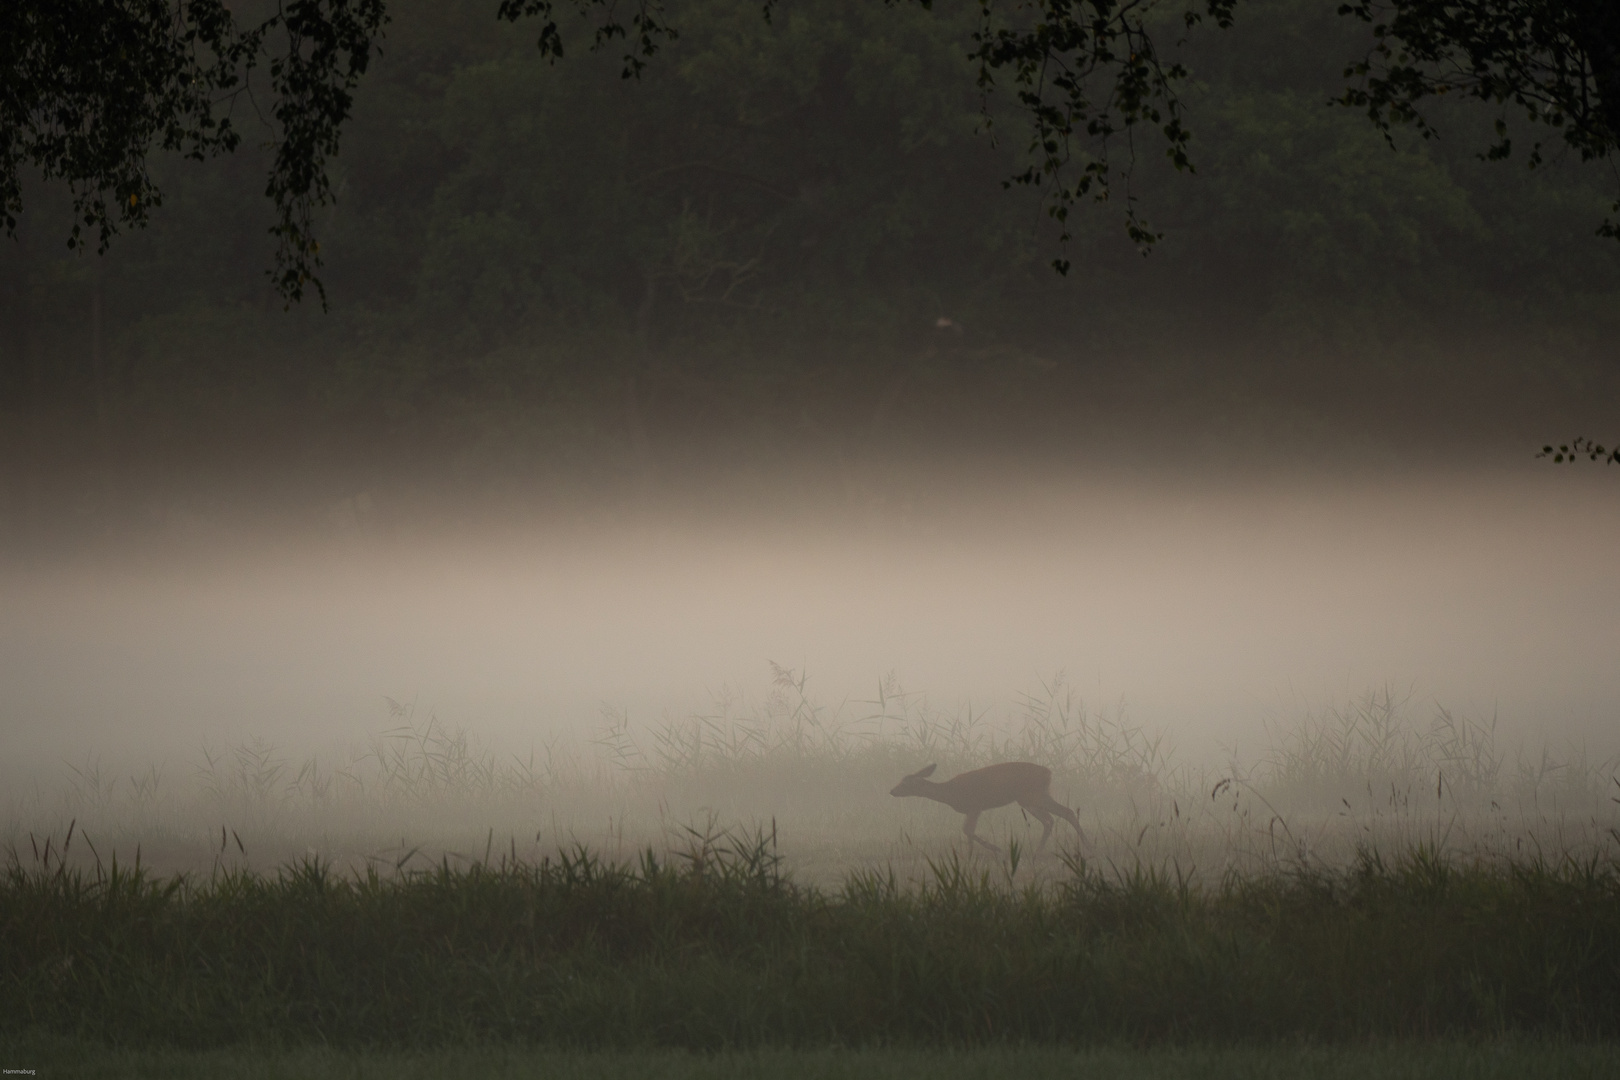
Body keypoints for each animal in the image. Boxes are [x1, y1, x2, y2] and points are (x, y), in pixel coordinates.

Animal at [894, 761, 1082, 854]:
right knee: (1050, 819)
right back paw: (1039, 851)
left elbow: (967, 830)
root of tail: (1048, 772)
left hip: (1032, 795)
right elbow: (967, 831)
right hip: (1028, 799)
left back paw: (1084, 846)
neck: (950, 793)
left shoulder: (975, 805)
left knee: (1065, 812)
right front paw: (969, 855)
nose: (892, 791)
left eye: (905, 783)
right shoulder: (971, 809)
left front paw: (995, 848)